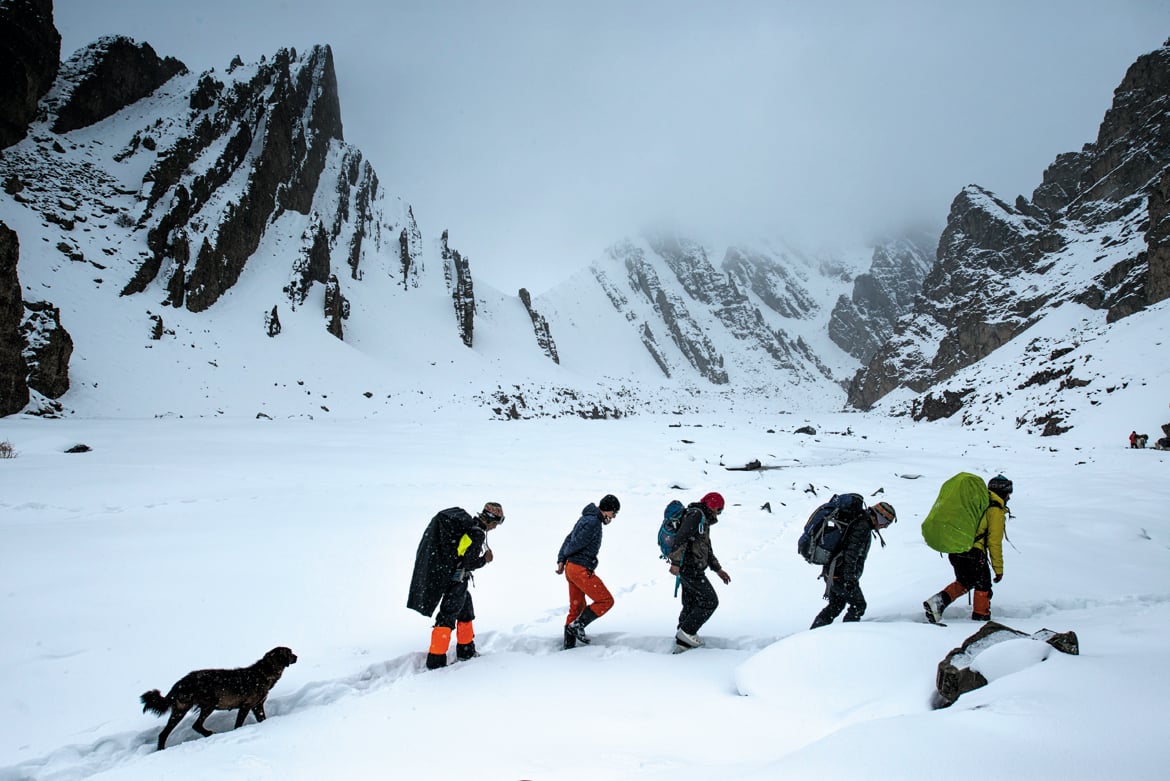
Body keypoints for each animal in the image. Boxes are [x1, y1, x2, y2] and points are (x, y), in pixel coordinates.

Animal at [140, 645, 297, 748]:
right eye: (289, 653)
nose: (297, 656)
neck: (264, 673)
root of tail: (179, 683)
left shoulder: (257, 706)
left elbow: (262, 719)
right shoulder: (246, 705)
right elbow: (238, 724)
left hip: (180, 710)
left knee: (164, 734)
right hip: (208, 703)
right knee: (195, 725)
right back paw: (209, 734)